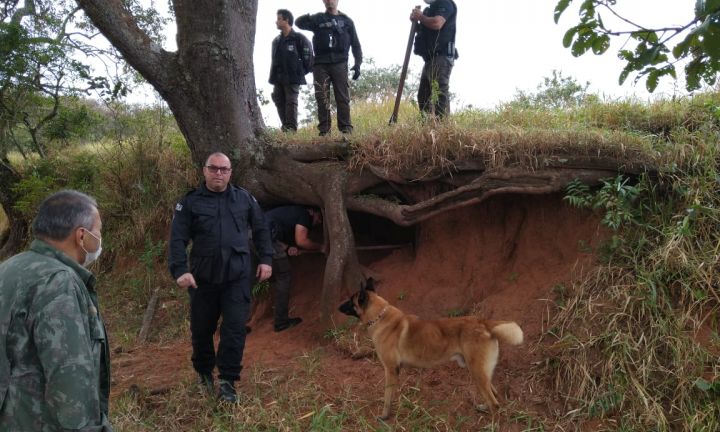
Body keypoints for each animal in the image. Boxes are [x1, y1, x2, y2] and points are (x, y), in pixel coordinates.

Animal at [338, 278, 524, 420]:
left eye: (350, 301)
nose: (338, 307)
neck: (380, 316)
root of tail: (483, 322)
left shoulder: (390, 370)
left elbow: (387, 398)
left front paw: (384, 416)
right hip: (480, 371)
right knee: (494, 394)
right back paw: (484, 407)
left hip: (477, 371)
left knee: (495, 403)